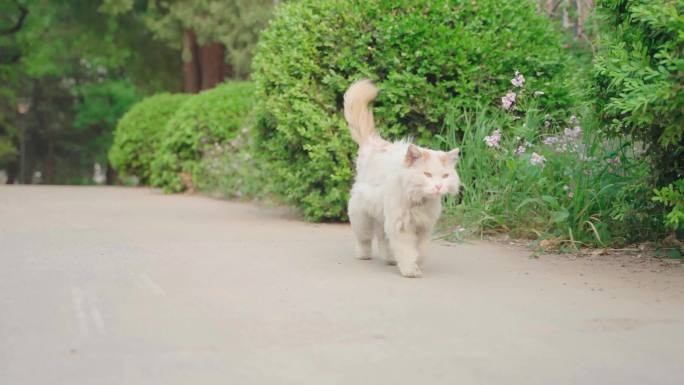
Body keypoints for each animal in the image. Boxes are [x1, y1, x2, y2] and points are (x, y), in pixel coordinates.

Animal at [342, 79, 460, 276]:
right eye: (427, 174)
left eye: (445, 176)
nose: (438, 186)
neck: (419, 200)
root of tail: (373, 142)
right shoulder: (401, 226)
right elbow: (406, 250)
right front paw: (410, 270)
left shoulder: (423, 227)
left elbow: (420, 251)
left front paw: (417, 264)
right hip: (362, 214)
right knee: (364, 239)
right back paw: (364, 255)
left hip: (381, 216)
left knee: (382, 238)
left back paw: (390, 259)